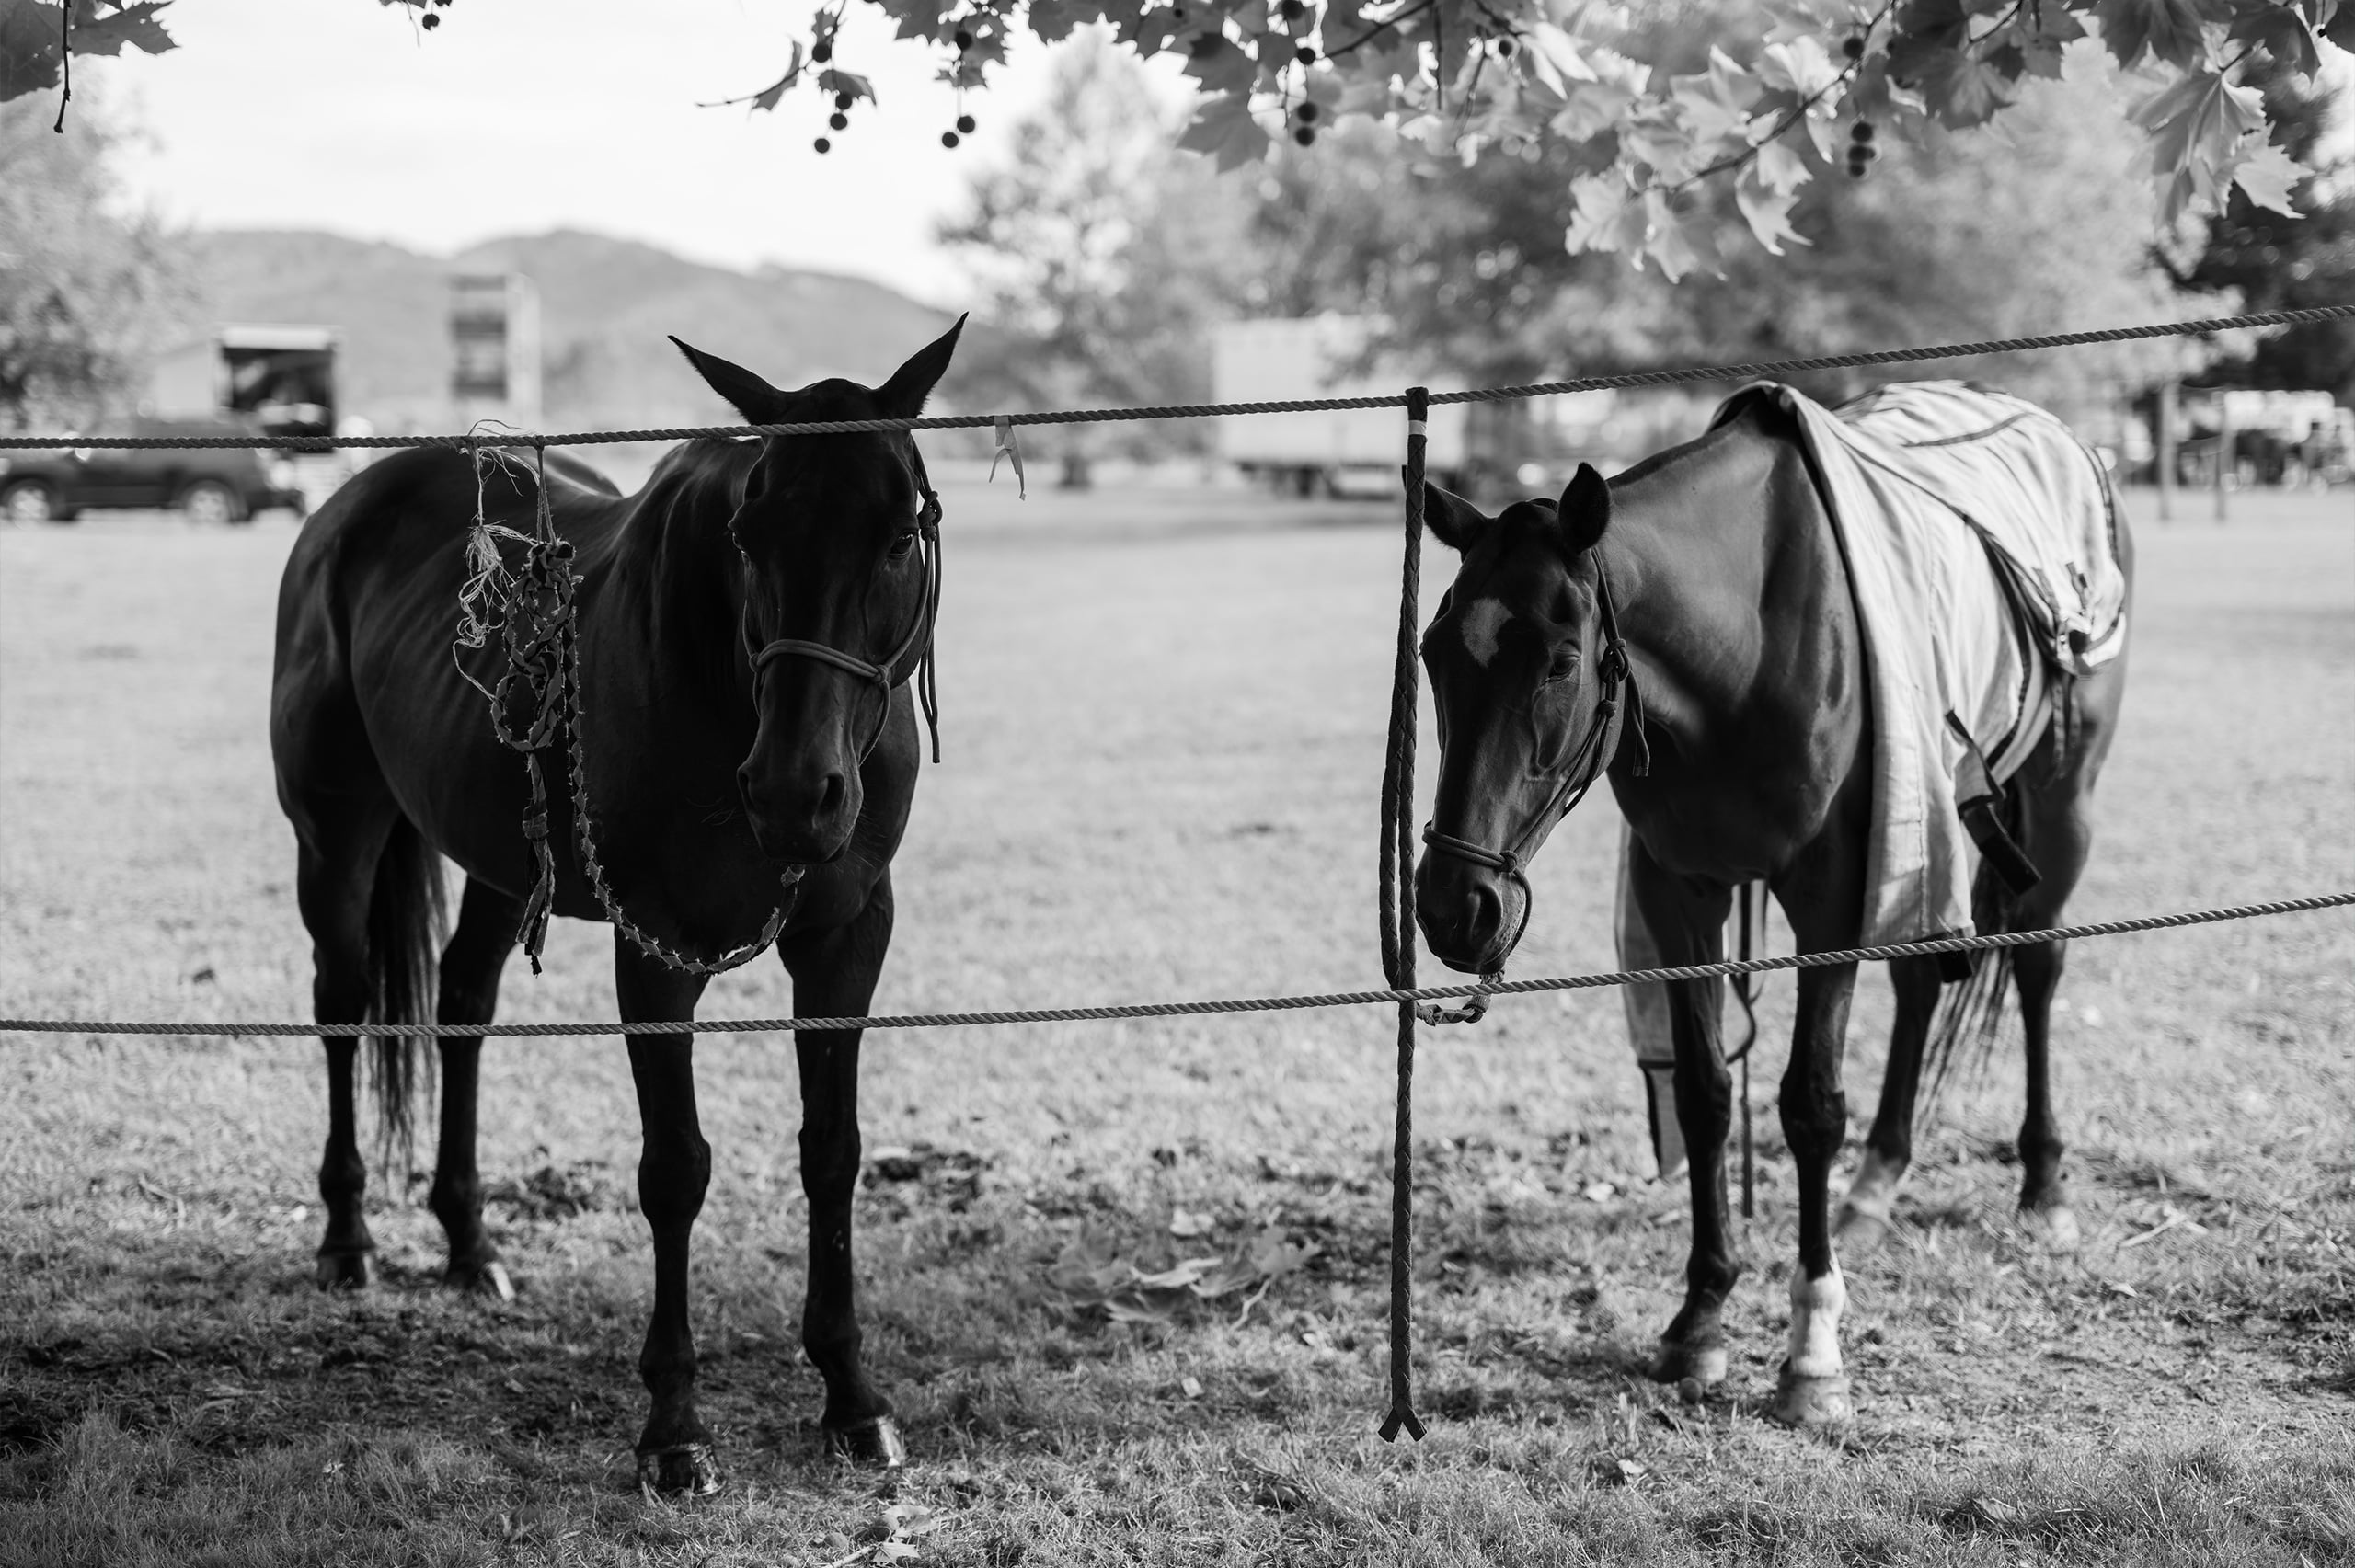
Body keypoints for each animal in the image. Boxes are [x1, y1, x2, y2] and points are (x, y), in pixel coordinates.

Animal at [270, 319, 965, 1492]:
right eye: (749, 531)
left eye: (899, 528)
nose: (795, 792)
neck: (723, 679)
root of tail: (344, 507)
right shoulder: (658, 948)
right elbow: (674, 1168)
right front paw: (673, 1428)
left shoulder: (846, 935)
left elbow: (832, 1149)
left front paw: (851, 1396)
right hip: (337, 837)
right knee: (343, 1005)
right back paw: (349, 1238)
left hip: (504, 860)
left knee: (461, 1009)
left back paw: (470, 1244)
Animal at [1411, 391, 2131, 1426]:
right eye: (1433, 653)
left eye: (1558, 661)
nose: (1451, 904)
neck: (1743, 649)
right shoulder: (1681, 892)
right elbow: (1706, 1094)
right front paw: (1700, 1316)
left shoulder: (1831, 900)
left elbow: (1808, 1104)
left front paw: (1811, 1349)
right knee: (1920, 983)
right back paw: (1875, 1182)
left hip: (2059, 797)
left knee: (2036, 968)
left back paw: (2042, 1182)